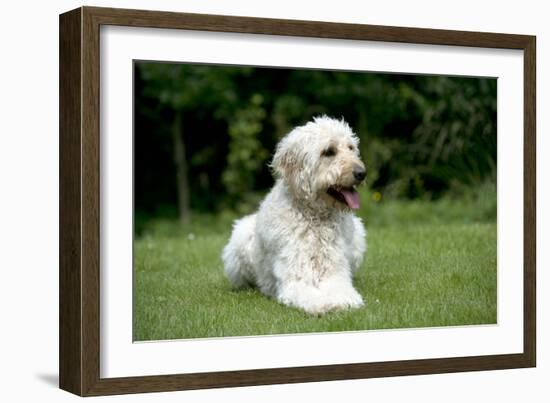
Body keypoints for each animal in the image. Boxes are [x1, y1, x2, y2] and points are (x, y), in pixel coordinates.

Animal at [222, 116, 368, 316]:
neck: (315, 217)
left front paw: (343, 301)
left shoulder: (335, 272)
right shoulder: (297, 277)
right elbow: (308, 294)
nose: (362, 173)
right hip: (240, 239)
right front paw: (323, 304)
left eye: (351, 148)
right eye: (329, 151)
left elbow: (341, 289)